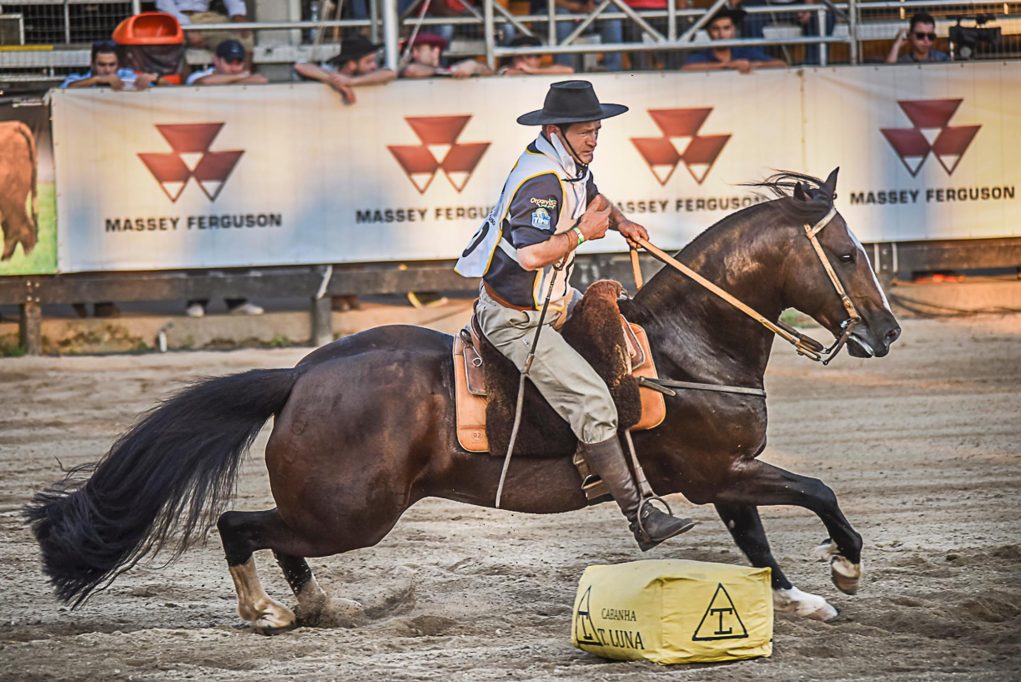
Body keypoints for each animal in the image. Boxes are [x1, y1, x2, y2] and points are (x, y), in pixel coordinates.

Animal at [23, 167, 902, 632]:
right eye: (846, 253)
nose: (887, 330)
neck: (689, 342)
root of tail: (300, 375)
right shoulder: (715, 472)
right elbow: (816, 494)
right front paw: (846, 569)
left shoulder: (726, 474)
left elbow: (755, 540)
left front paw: (799, 597)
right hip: (350, 513)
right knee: (240, 524)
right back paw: (268, 610)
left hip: (336, 513)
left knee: (275, 538)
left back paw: (319, 603)